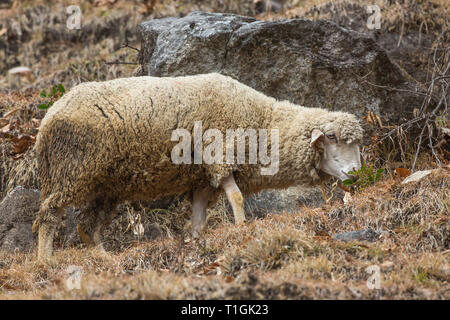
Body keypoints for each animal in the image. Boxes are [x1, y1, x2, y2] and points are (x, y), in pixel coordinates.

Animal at [32, 72, 362, 260]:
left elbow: (200, 219)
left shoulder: (203, 181)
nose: (356, 173)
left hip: (103, 187)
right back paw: (45, 261)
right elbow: (236, 197)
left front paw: (196, 241)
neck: (261, 120)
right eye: (332, 137)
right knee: (49, 216)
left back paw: (104, 260)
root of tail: (47, 118)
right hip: (70, 172)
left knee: (87, 227)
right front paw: (242, 228)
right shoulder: (219, 157)